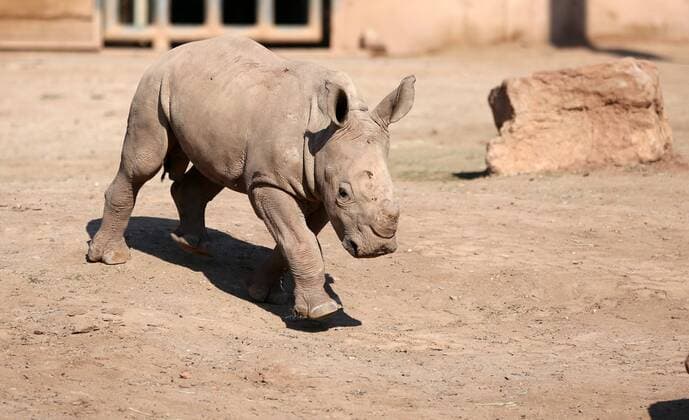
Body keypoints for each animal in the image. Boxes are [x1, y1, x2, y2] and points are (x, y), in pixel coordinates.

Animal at [87, 36, 415, 320]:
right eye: (344, 193)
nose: (377, 248)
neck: (323, 136)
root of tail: (175, 51)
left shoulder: (320, 191)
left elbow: (294, 239)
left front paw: (261, 293)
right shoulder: (269, 181)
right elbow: (300, 239)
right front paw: (322, 311)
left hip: (214, 101)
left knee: (212, 171)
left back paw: (191, 245)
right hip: (153, 85)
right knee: (143, 163)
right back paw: (111, 258)